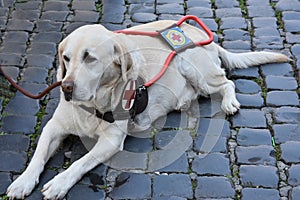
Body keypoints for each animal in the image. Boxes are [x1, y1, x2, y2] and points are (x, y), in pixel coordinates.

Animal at [6, 19, 288, 198]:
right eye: (66, 58)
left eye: (89, 58)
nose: (66, 87)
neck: (93, 104)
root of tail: (198, 33)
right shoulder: (54, 127)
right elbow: (37, 157)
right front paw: (22, 182)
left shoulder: (111, 140)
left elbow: (80, 163)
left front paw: (59, 182)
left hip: (197, 69)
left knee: (227, 82)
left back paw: (229, 102)